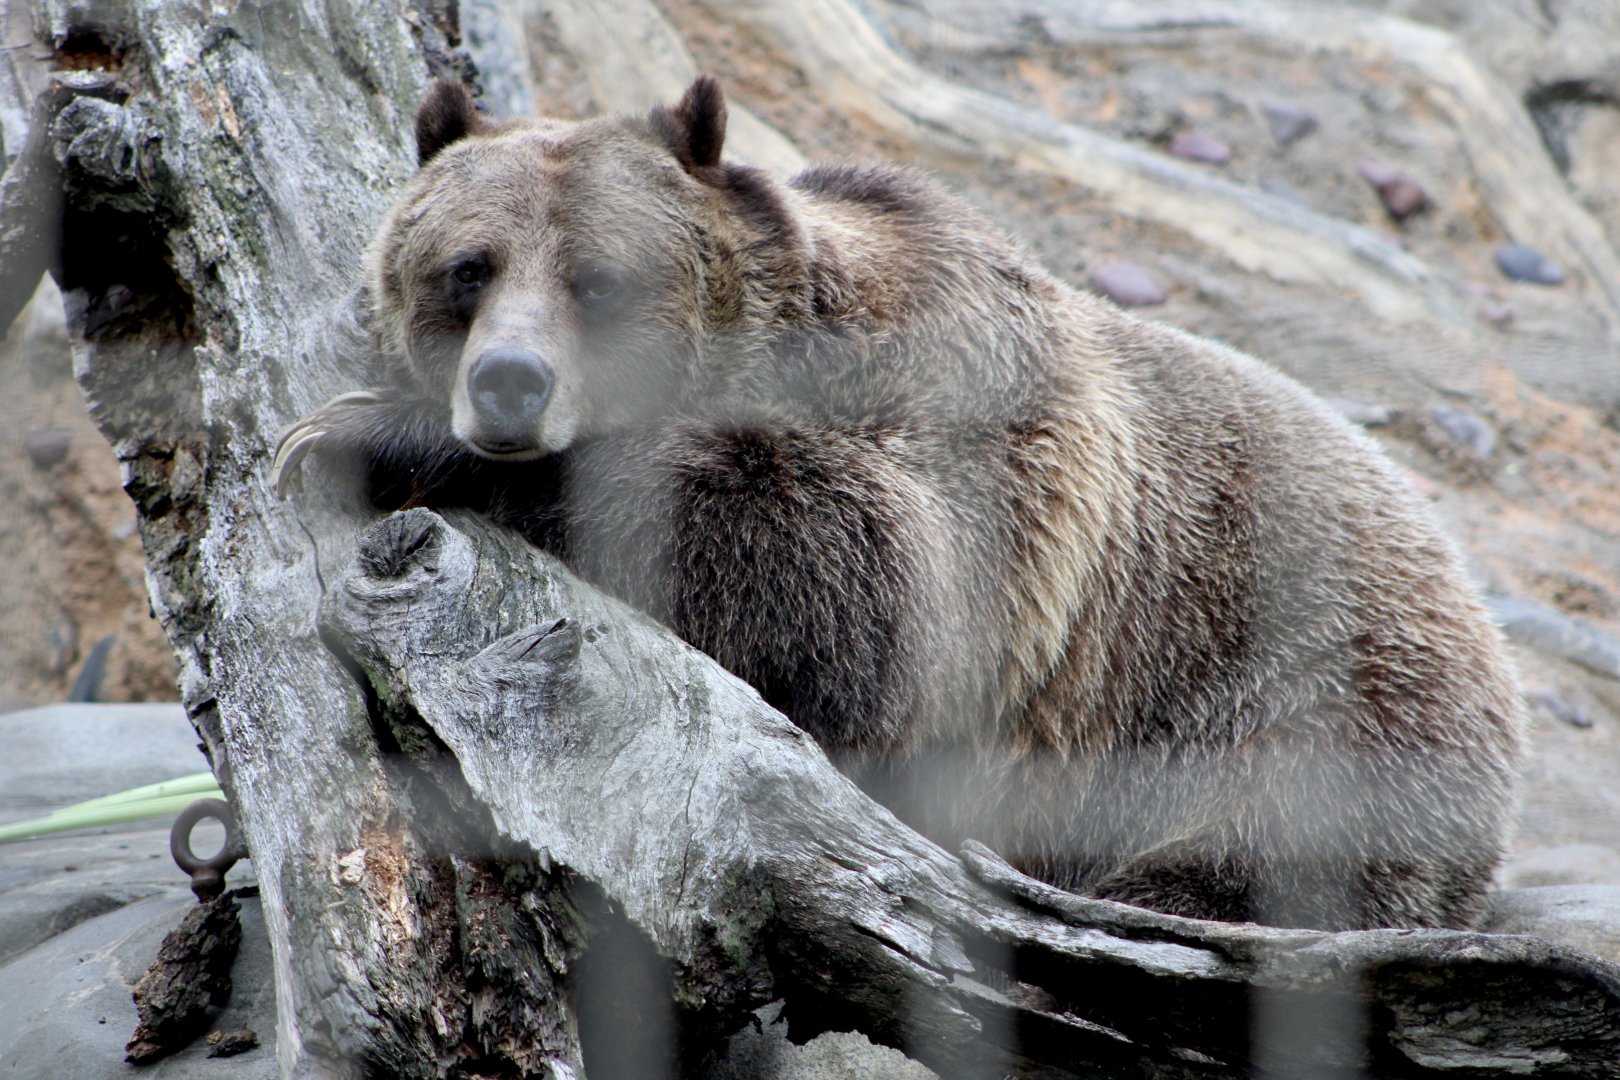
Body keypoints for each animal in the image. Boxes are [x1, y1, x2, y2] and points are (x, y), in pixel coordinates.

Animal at [274, 76, 1524, 930]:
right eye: (467, 267)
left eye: (599, 281)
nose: (508, 383)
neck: (791, 338)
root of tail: (1470, 596)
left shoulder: (981, 437)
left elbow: (861, 591)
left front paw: (364, 434)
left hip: (1293, 705)